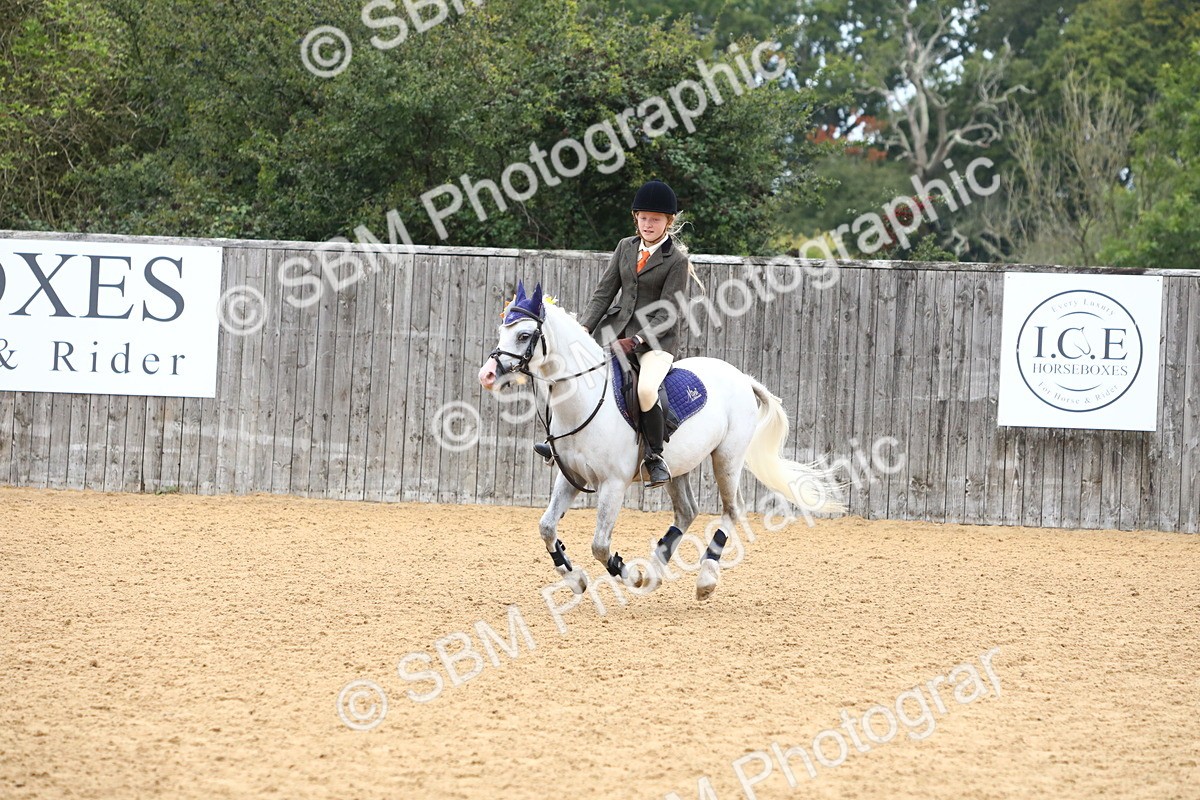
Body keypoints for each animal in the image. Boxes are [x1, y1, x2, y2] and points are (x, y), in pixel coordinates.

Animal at [478, 281, 844, 601]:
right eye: (501, 331)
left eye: (524, 335)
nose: (488, 375)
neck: (584, 398)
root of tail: (741, 377)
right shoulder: (571, 477)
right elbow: (546, 527)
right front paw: (575, 578)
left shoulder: (613, 484)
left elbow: (600, 545)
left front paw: (630, 575)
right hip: (678, 466)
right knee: (687, 511)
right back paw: (656, 570)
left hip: (726, 458)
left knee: (732, 510)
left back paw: (704, 578)